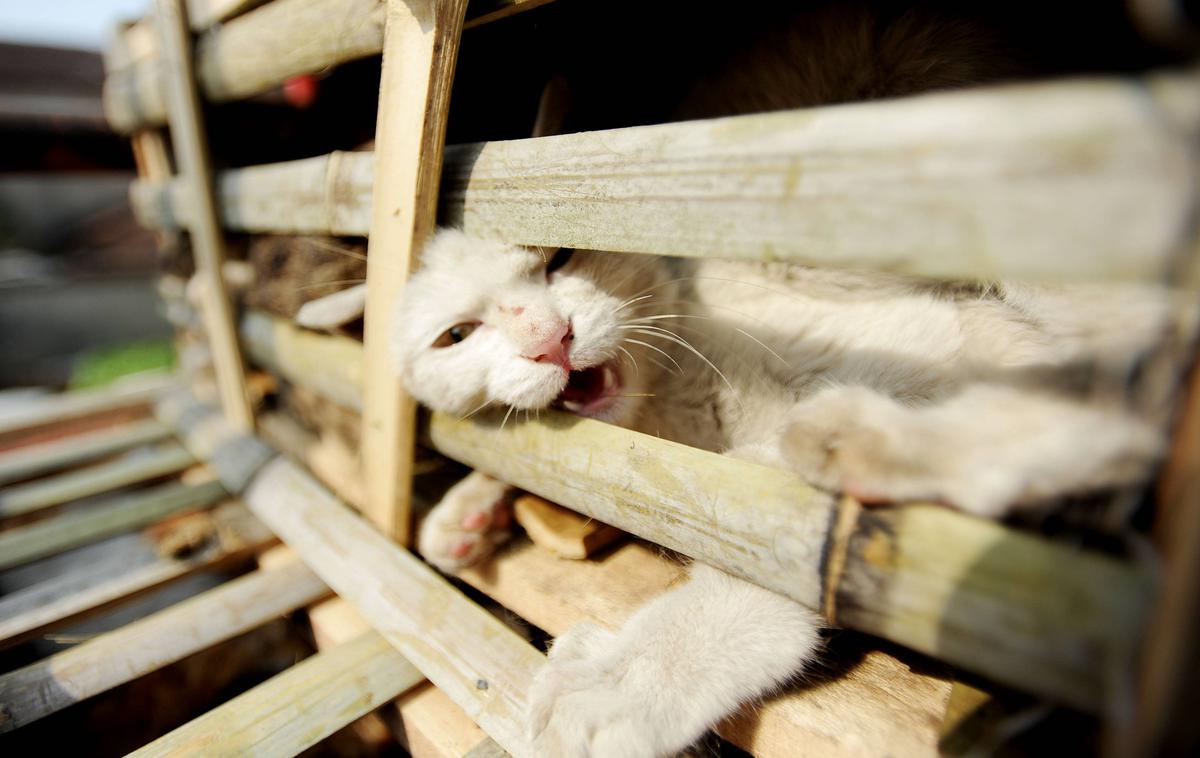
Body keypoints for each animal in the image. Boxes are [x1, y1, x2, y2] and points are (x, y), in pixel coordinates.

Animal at [388, 227, 1176, 753]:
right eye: (457, 334)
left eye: (559, 259)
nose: (549, 340)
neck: (671, 410)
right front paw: (468, 509)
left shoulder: (925, 345)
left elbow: (769, 534)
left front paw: (627, 679)